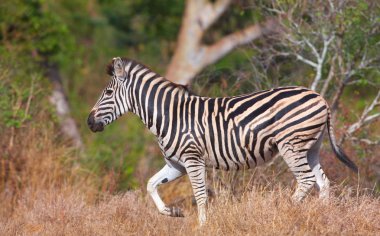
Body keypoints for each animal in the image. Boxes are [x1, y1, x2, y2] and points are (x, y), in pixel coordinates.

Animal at [87, 57, 358, 225]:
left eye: (108, 93)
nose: (89, 122)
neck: (171, 115)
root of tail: (320, 97)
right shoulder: (176, 164)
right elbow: (150, 185)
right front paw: (173, 212)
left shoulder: (192, 159)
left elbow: (200, 196)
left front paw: (202, 226)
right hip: (311, 147)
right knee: (323, 182)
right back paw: (321, 216)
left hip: (291, 145)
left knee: (307, 180)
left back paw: (286, 210)